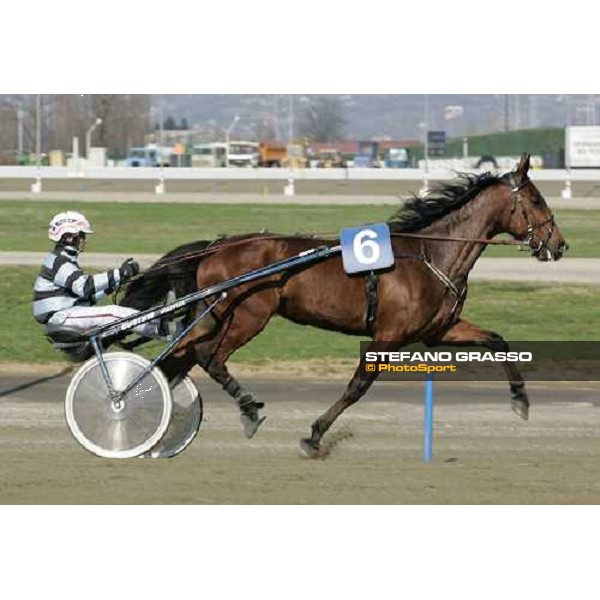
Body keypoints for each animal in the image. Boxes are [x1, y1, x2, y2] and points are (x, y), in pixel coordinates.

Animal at [120, 155, 568, 460]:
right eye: (535, 199)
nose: (560, 244)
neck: (432, 254)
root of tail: (216, 246)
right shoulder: (387, 336)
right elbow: (358, 386)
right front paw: (314, 435)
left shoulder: (439, 330)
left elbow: (498, 340)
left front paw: (521, 399)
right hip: (245, 315)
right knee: (207, 356)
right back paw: (243, 410)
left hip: (220, 315)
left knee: (183, 354)